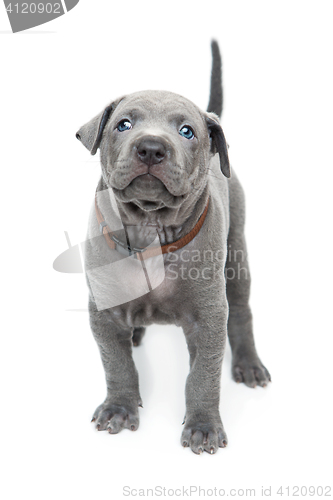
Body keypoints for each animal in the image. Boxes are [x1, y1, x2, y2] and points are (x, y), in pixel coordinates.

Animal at [76, 42, 268, 454]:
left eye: (186, 131)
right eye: (124, 124)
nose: (151, 148)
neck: (151, 230)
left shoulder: (209, 317)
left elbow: (203, 376)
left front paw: (203, 426)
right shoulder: (103, 313)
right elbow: (117, 363)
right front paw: (118, 408)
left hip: (237, 255)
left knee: (242, 311)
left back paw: (248, 364)